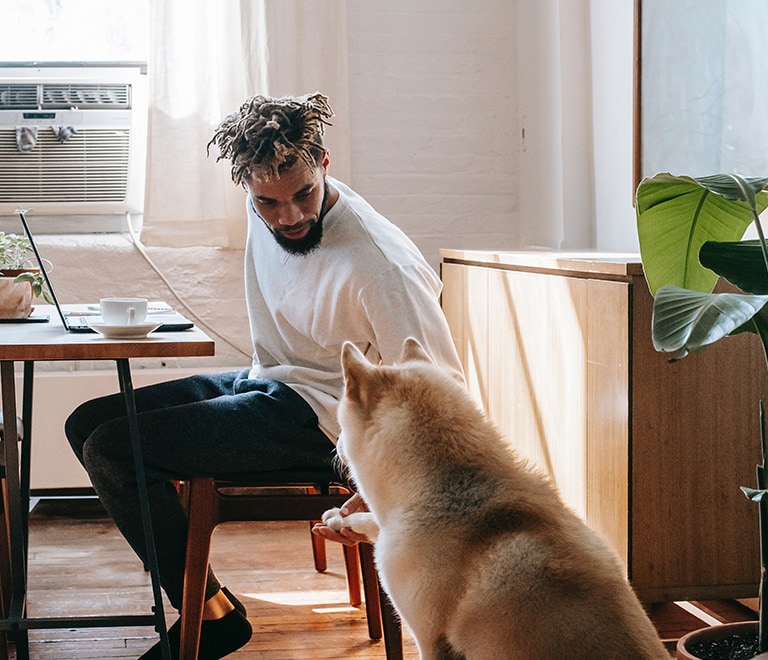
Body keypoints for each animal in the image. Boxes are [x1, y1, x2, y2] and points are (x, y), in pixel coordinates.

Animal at [320, 338, 668, 656]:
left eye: (340, 423)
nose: (334, 446)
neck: (445, 492)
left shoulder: (429, 638)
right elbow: (368, 520)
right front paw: (339, 518)